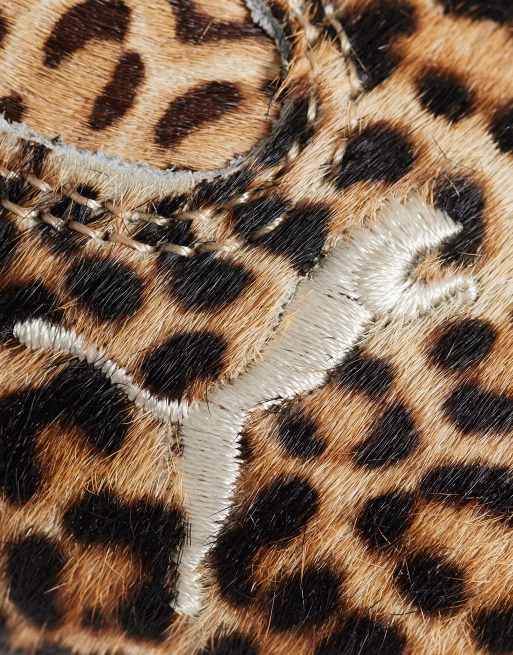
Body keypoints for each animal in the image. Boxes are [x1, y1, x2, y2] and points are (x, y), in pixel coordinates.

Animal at [0, 1, 513, 655]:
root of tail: (186, 411)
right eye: (434, 217)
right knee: (197, 537)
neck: (368, 244)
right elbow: (407, 297)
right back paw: (187, 593)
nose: (453, 220)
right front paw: (455, 288)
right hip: (215, 476)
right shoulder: (375, 292)